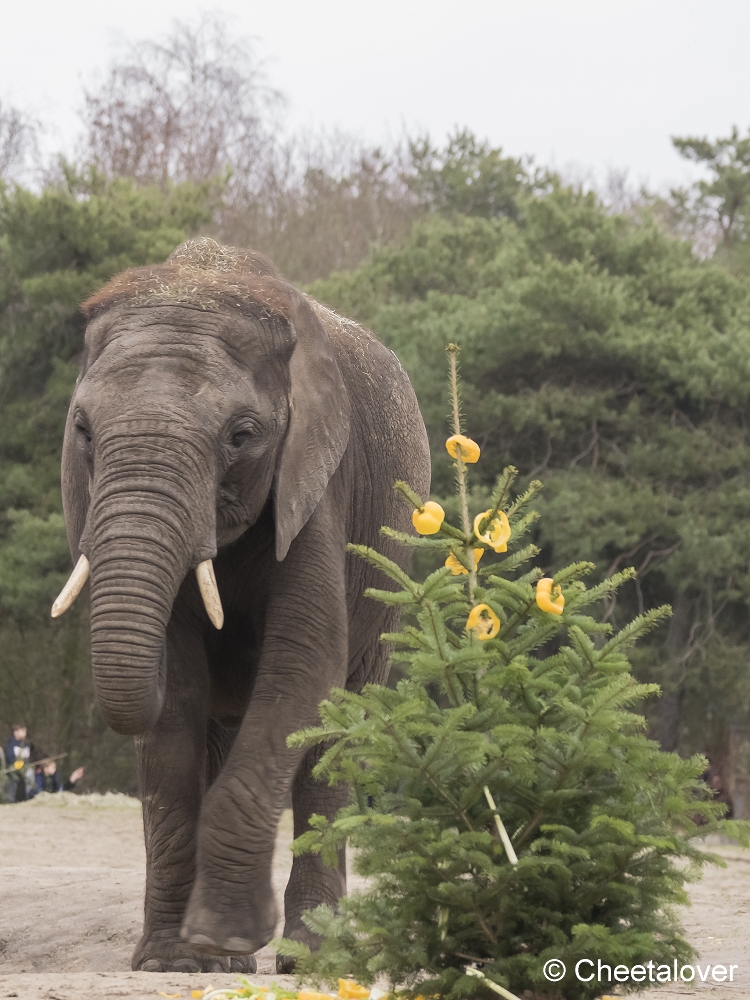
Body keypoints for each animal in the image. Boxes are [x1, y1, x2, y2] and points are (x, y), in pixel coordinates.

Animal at [51, 238, 428, 972]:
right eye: (82, 429)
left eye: (242, 435)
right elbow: (177, 699)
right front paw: (174, 961)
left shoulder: (317, 483)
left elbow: (303, 667)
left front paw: (224, 936)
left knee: (332, 740)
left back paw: (312, 959)